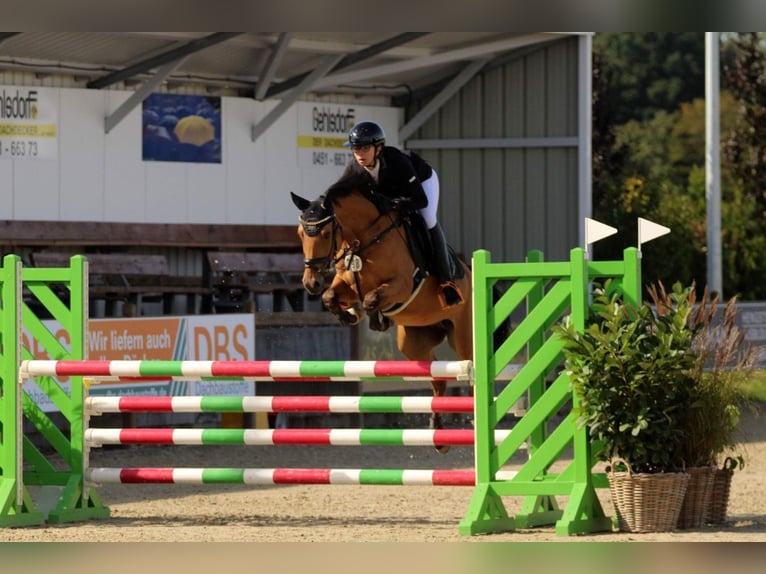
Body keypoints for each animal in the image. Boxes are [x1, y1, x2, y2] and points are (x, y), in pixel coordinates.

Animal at [292, 171, 474, 454]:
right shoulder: (346, 283)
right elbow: (331, 297)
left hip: (464, 337)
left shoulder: (400, 285)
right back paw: (439, 436)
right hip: (413, 343)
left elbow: (371, 299)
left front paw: (375, 319)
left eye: (325, 233)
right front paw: (349, 315)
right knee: (438, 379)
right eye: (301, 233)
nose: (311, 282)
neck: (363, 239)